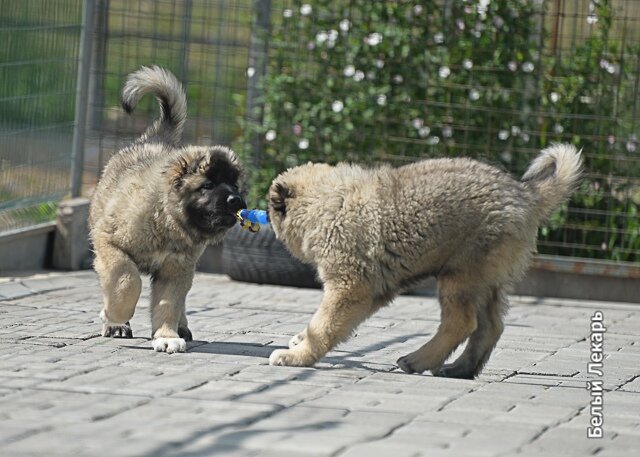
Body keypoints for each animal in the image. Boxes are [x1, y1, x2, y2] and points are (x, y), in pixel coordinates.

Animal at [91, 65, 246, 352]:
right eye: (207, 185)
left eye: (234, 184)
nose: (237, 201)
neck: (166, 218)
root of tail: (153, 139)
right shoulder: (109, 243)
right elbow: (126, 281)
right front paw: (113, 317)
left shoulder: (176, 268)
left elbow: (169, 303)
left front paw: (166, 336)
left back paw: (181, 327)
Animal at [268, 144, 584, 376]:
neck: (329, 201)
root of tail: (525, 194)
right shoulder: (372, 290)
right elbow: (322, 323)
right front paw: (300, 340)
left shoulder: (349, 287)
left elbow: (323, 324)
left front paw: (297, 355)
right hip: (488, 280)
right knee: (490, 327)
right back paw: (458, 369)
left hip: (461, 274)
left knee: (461, 323)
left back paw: (417, 360)